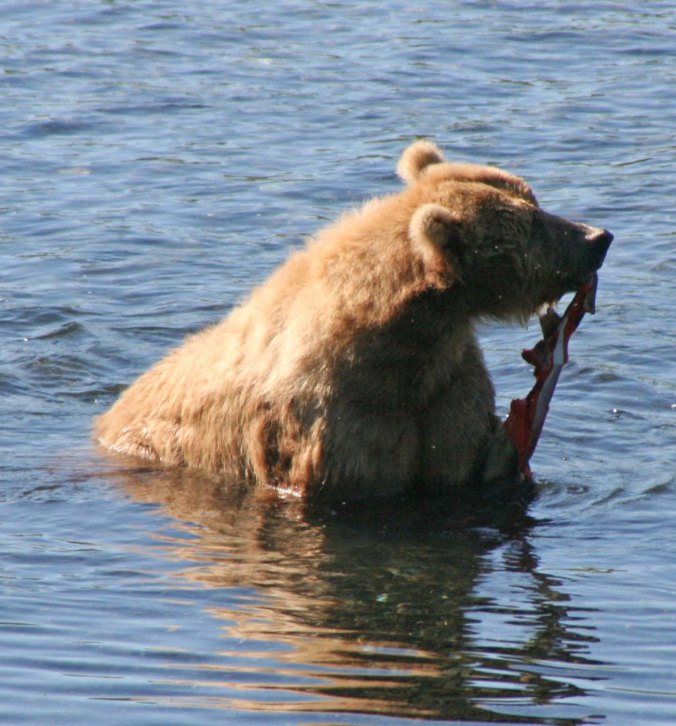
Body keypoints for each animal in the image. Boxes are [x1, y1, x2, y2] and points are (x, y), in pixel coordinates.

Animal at [95, 140, 612, 500]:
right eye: (532, 223)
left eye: (534, 199)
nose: (598, 237)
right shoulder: (333, 419)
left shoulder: (445, 383)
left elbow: (465, 461)